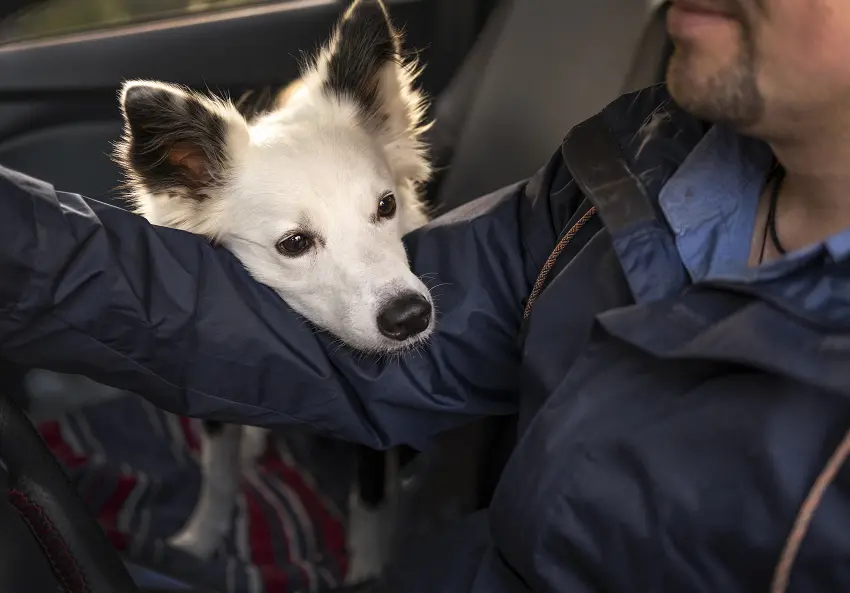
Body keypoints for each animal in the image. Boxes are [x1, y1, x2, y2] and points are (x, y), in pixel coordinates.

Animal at [114, 0, 430, 584]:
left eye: (386, 206)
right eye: (295, 243)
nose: (411, 317)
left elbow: (370, 503)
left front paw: (368, 573)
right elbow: (217, 476)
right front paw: (197, 543)